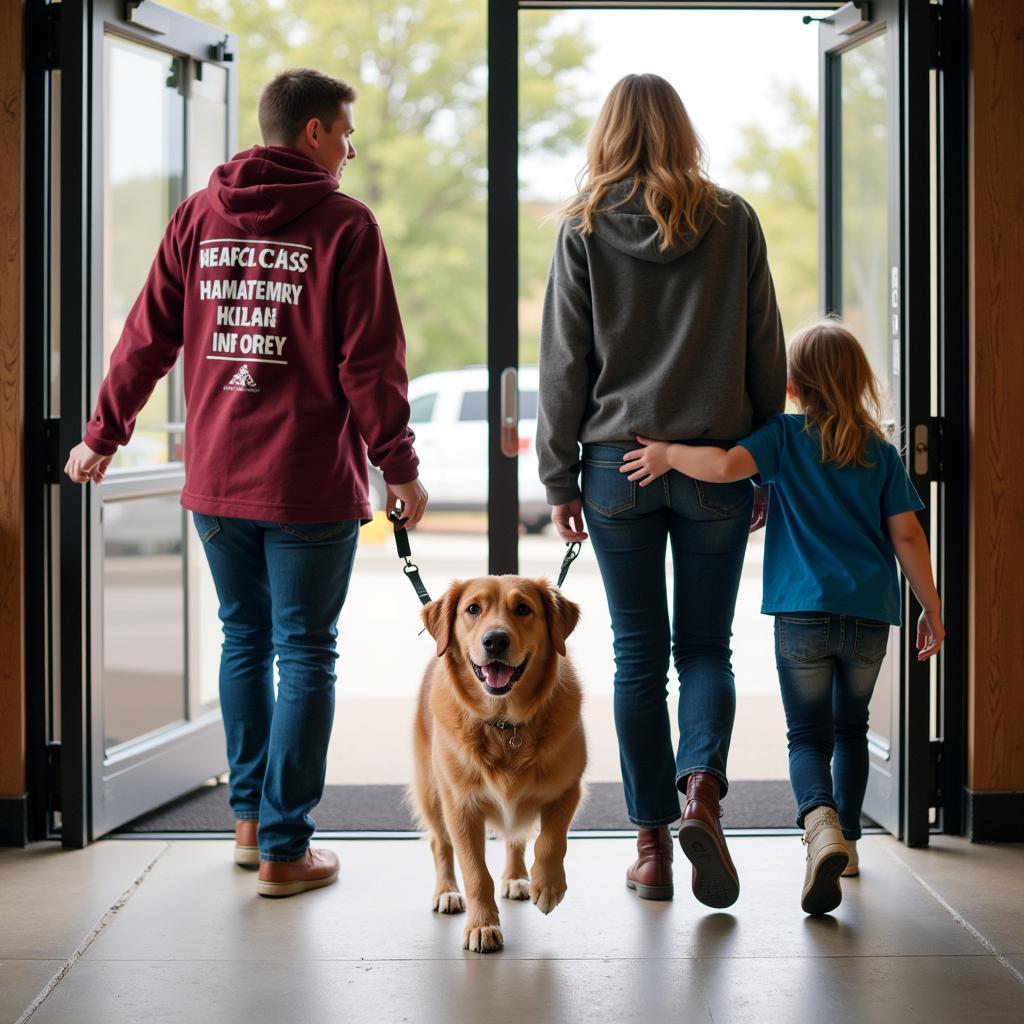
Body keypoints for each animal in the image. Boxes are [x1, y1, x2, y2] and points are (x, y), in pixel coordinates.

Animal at [407, 577, 585, 950]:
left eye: (523, 609)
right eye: (473, 609)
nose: (495, 640)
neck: (505, 724)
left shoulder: (568, 789)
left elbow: (551, 841)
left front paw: (547, 886)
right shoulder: (459, 807)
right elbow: (475, 873)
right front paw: (483, 925)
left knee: (516, 838)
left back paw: (517, 878)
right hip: (431, 794)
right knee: (440, 844)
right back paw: (446, 892)